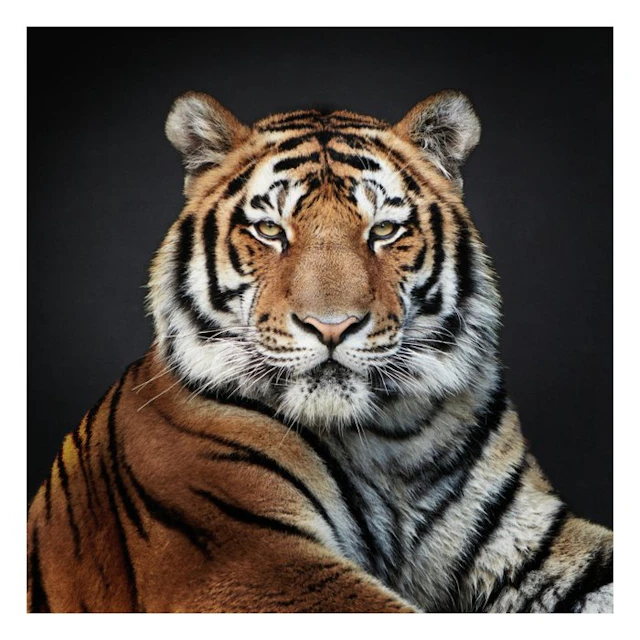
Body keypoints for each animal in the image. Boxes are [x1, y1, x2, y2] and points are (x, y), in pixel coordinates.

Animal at [27, 89, 613, 613]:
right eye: (269, 229)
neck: (390, 438)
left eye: (384, 230)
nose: (331, 327)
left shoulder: (529, 537)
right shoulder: (250, 556)